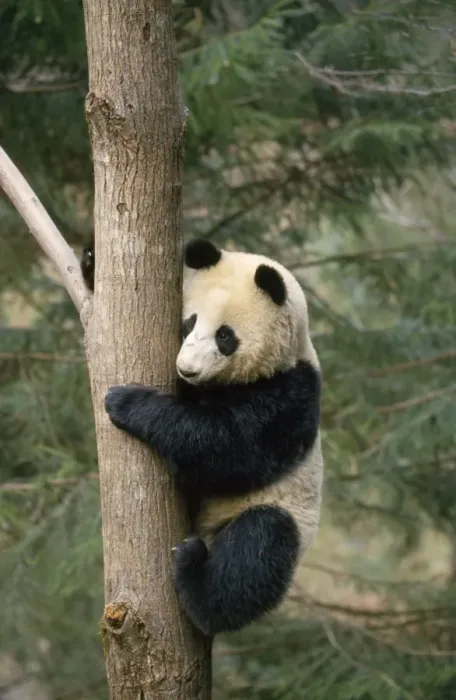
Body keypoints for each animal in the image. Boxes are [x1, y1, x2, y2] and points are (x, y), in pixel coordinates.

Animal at [80, 238, 324, 637]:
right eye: (190, 322)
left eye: (225, 336)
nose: (187, 369)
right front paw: (91, 261)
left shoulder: (289, 393)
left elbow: (230, 448)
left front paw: (126, 403)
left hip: (279, 514)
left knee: (258, 548)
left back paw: (197, 582)